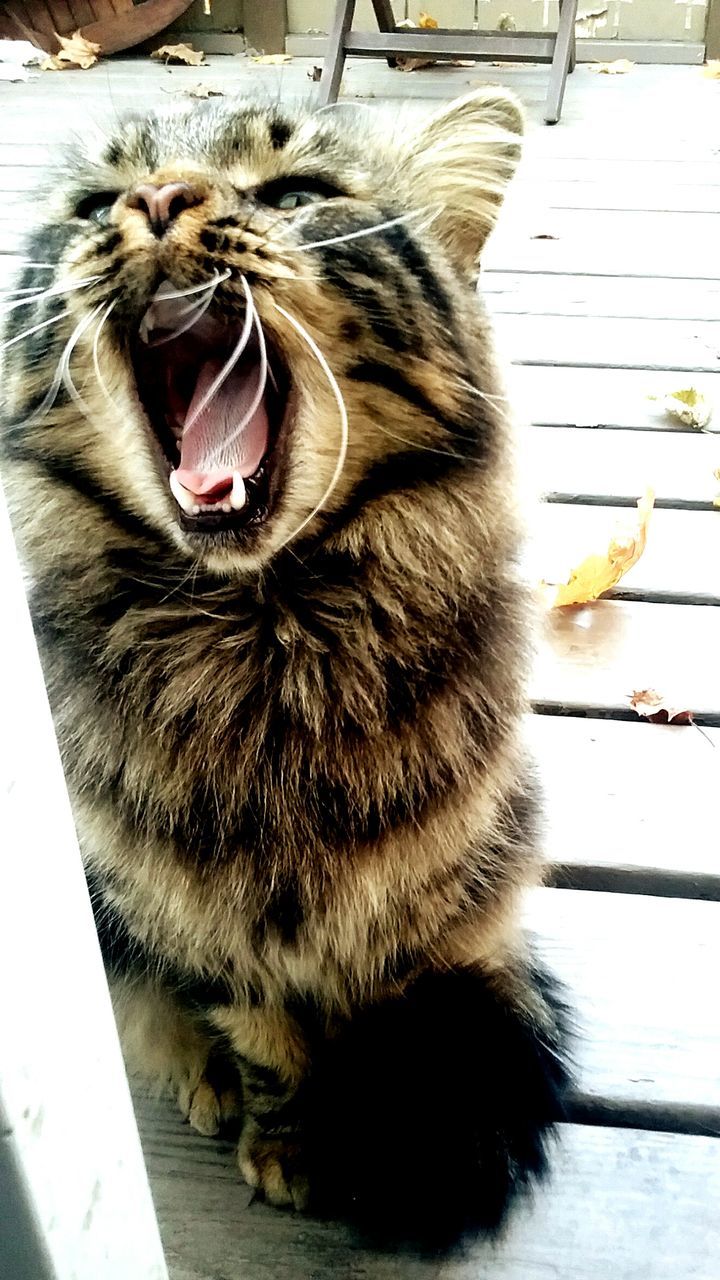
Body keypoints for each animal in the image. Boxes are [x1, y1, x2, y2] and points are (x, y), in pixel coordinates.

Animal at [0, 87, 571, 1249]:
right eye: (94, 204)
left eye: (297, 193)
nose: (159, 199)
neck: (266, 641)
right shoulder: (189, 917)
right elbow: (265, 1042)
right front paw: (285, 1133)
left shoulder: (411, 907)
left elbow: (375, 1033)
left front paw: (367, 1125)